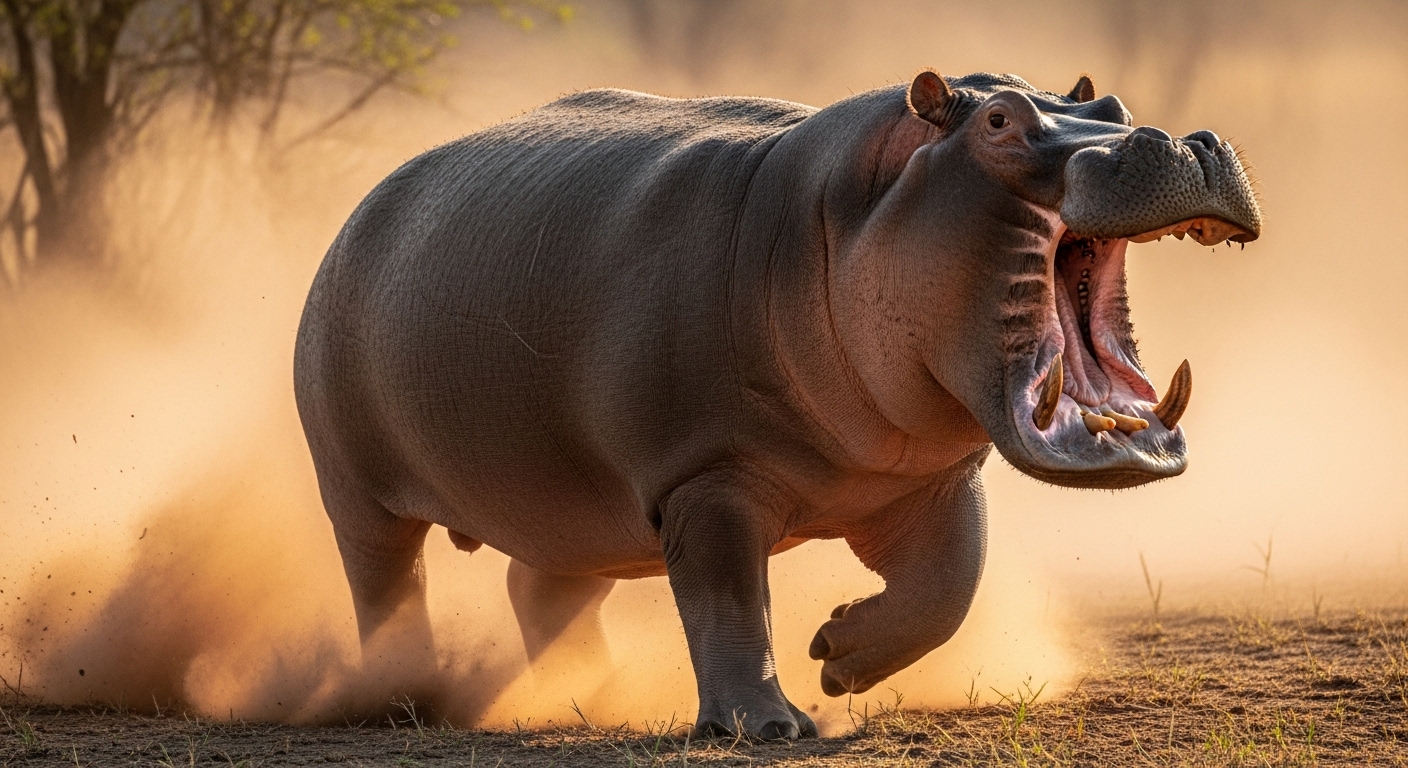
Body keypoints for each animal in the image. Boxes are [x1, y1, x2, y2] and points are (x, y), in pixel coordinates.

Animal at [293, 70, 1261, 740]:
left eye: (1114, 107)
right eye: (999, 123)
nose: (1178, 139)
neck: (858, 202)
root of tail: (355, 211)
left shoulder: (933, 478)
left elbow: (950, 586)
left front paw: (838, 657)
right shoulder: (705, 479)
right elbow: (728, 600)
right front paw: (770, 724)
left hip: (572, 500)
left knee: (541, 586)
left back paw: (587, 695)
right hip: (356, 488)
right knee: (387, 583)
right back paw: (403, 694)